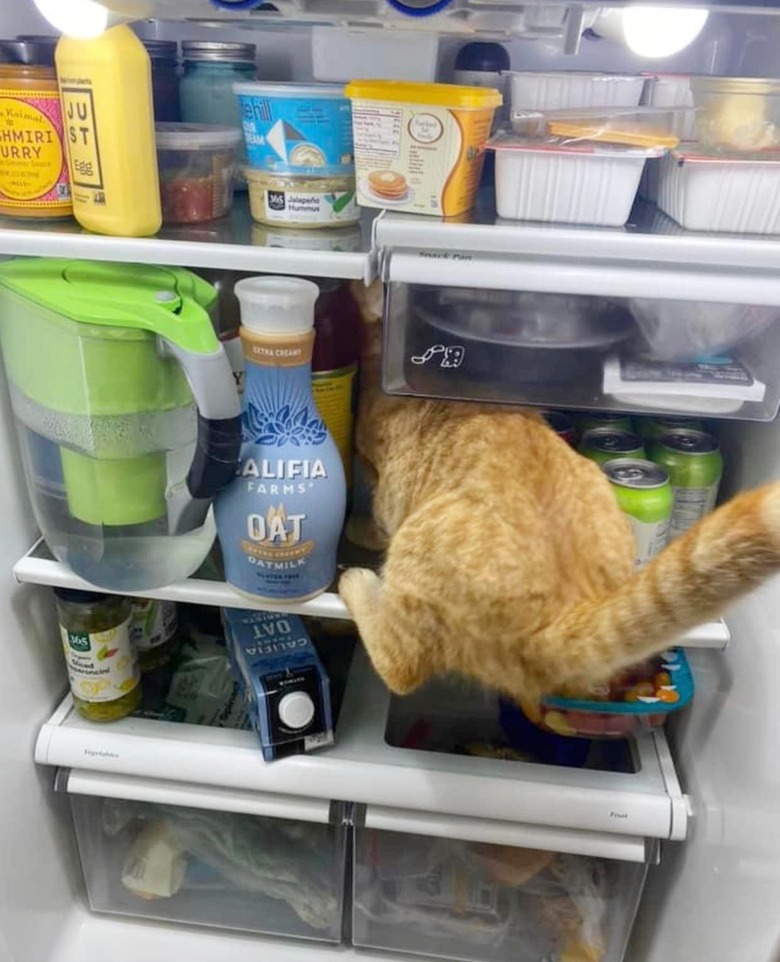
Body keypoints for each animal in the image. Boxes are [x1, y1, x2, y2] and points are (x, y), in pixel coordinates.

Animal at [340, 280, 780, 704]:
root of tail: (563, 616)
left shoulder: (381, 476)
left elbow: (377, 515)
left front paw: (359, 528)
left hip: (416, 545)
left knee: (400, 666)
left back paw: (358, 584)